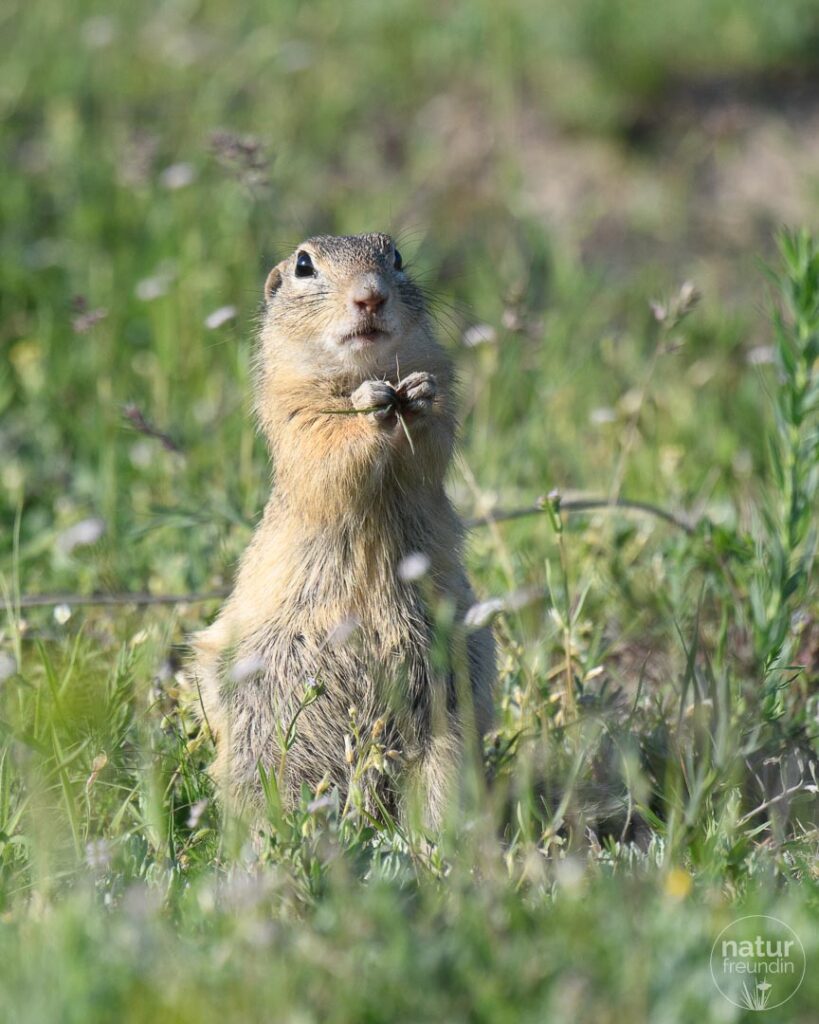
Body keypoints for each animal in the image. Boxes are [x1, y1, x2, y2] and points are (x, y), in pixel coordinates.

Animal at [192, 232, 495, 823]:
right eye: (304, 265)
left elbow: (431, 441)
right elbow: (328, 452)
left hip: (447, 725)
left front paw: (417, 394)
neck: (362, 371)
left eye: (395, 257)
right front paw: (371, 407)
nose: (371, 296)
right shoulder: (295, 414)